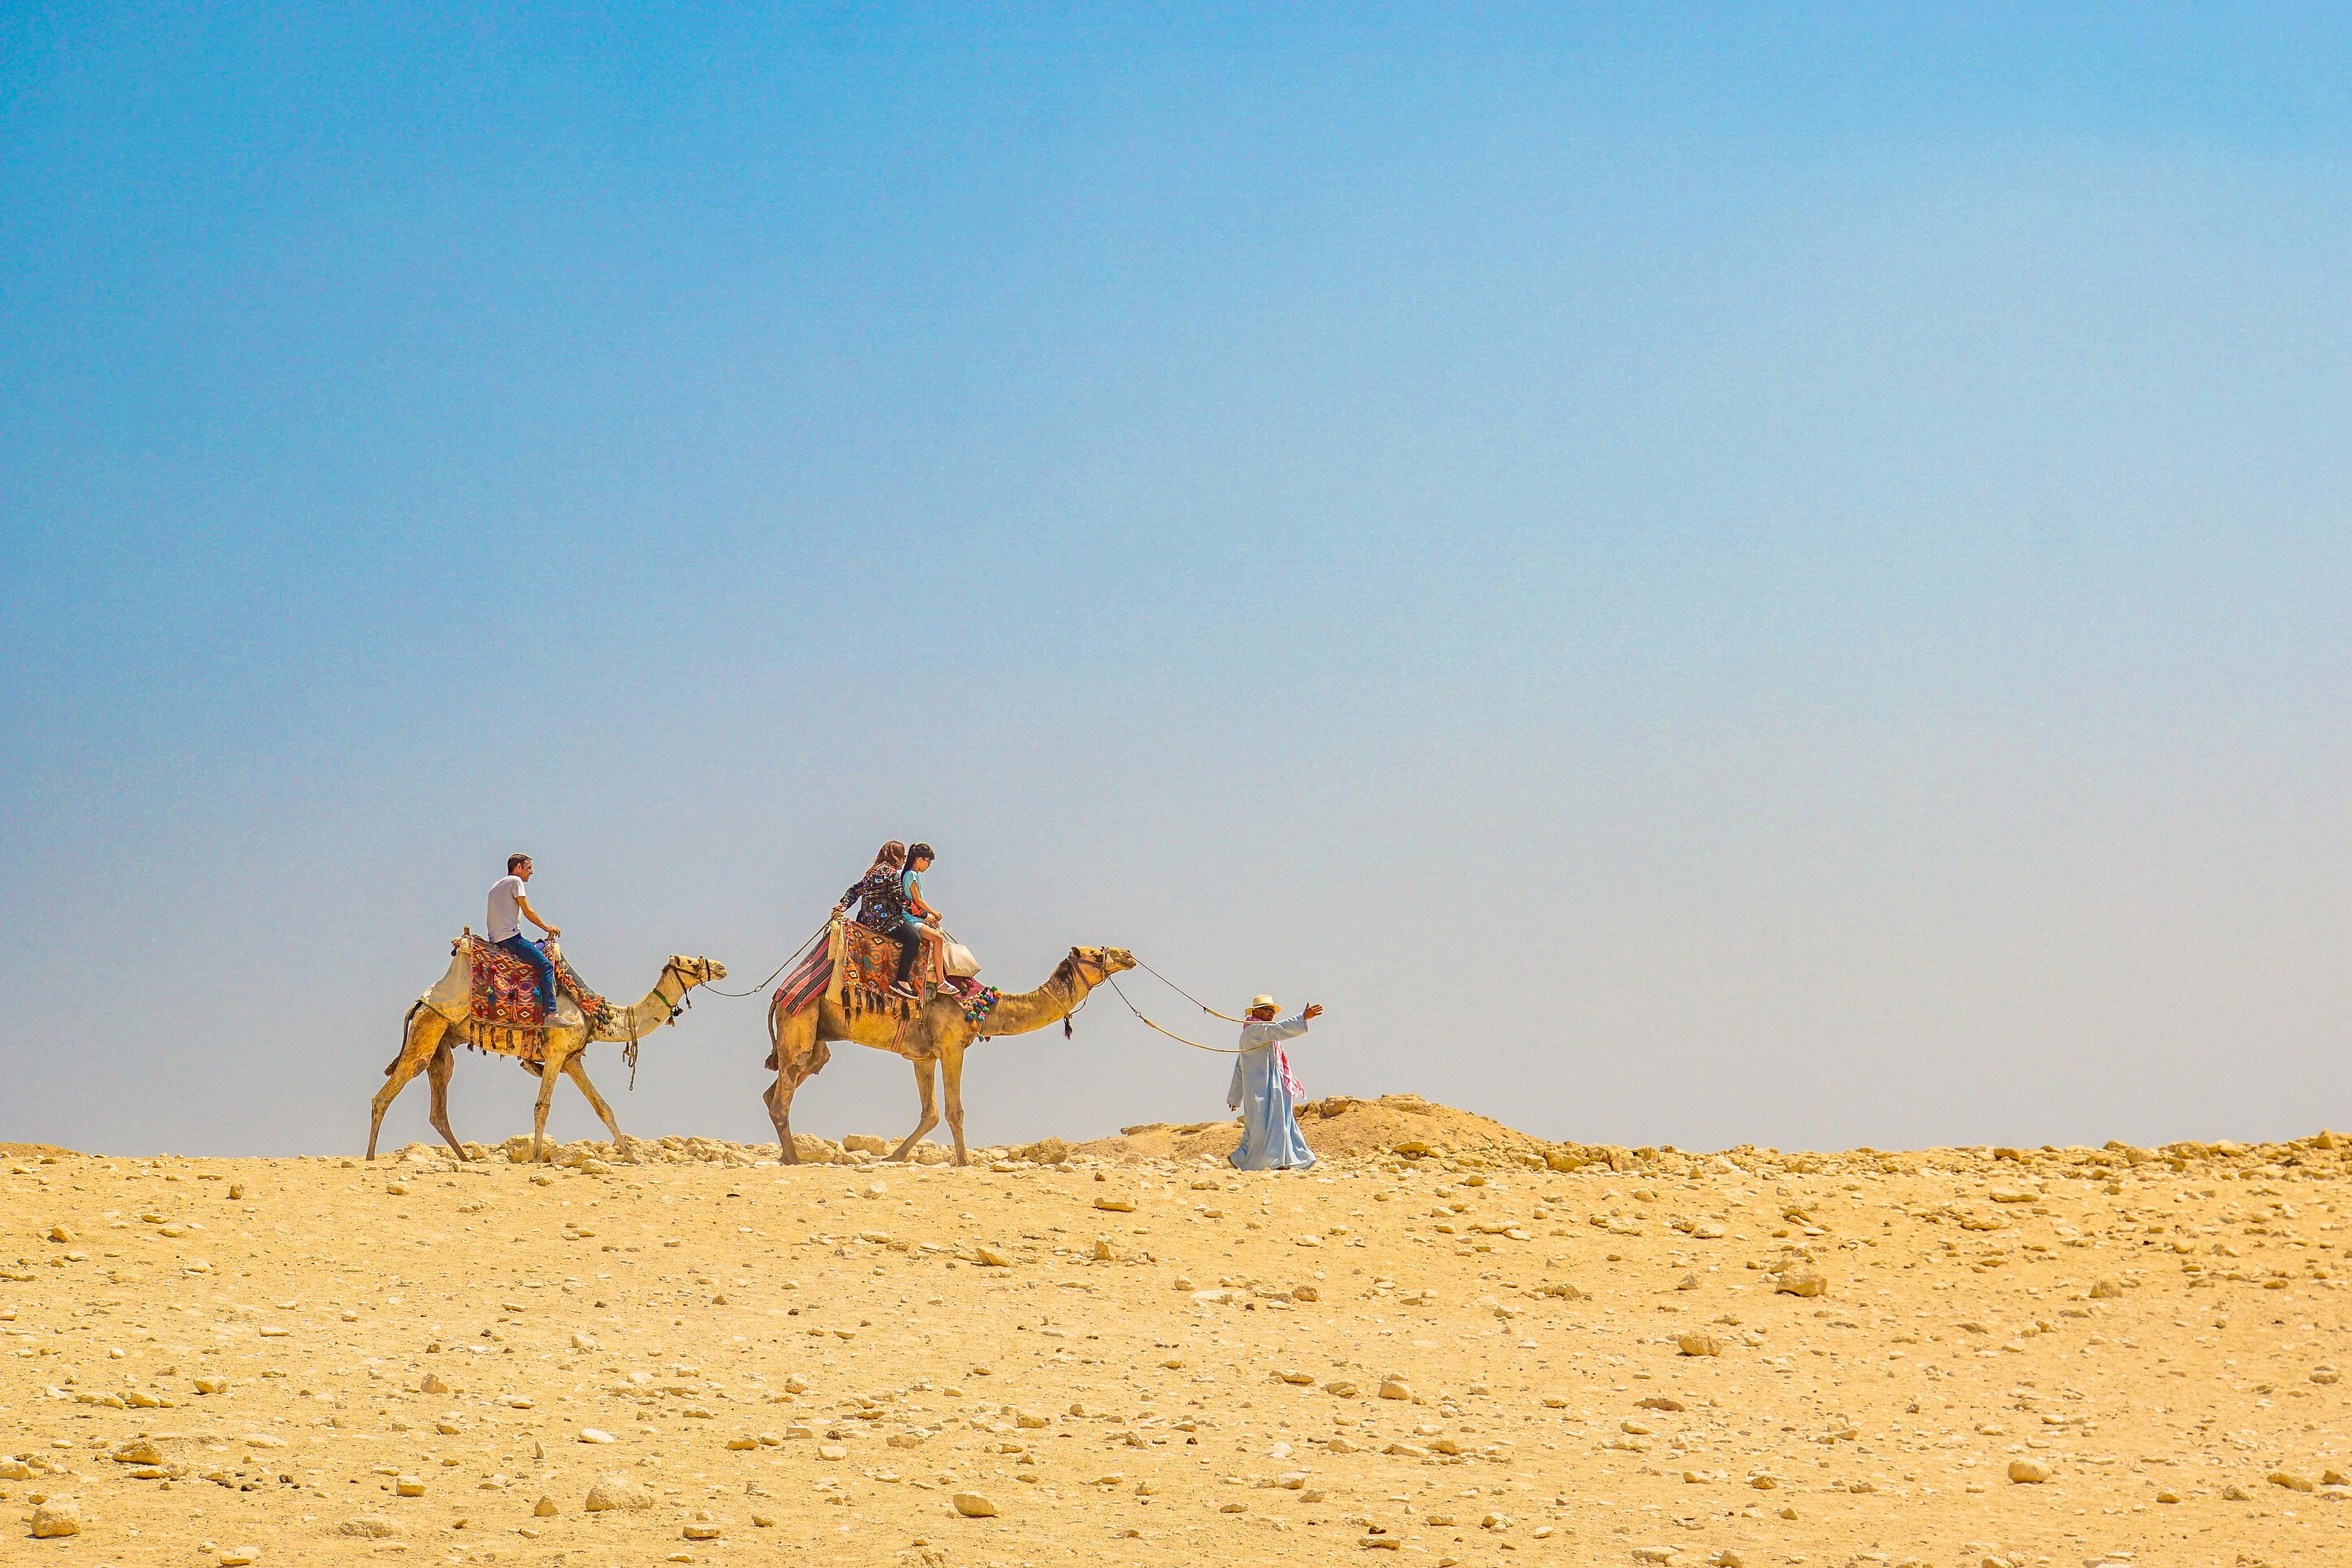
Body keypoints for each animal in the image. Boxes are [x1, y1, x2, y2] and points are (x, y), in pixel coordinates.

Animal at [369, 944, 728, 1163]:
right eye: (691, 962)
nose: (722, 966)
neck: (595, 1015)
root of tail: (419, 1003)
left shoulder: (572, 1060)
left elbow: (604, 1108)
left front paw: (633, 1157)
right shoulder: (555, 1054)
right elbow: (542, 1107)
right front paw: (538, 1158)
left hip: (442, 1045)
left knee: (438, 1107)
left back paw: (466, 1159)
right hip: (429, 1027)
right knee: (389, 1090)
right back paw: (371, 1157)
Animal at [764, 944, 1136, 1166]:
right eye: (1095, 951)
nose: (1128, 954)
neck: (983, 1005)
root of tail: (778, 995)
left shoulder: (923, 1056)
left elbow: (929, 1113)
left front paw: (894, 1157)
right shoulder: (952, 1047)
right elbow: (954, 1111)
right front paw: (965, 1161)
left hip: (815, 1042)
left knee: (778, 1089)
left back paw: (787, 1155)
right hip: (799, 1022)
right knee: (782, 1097)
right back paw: (794, 1159)